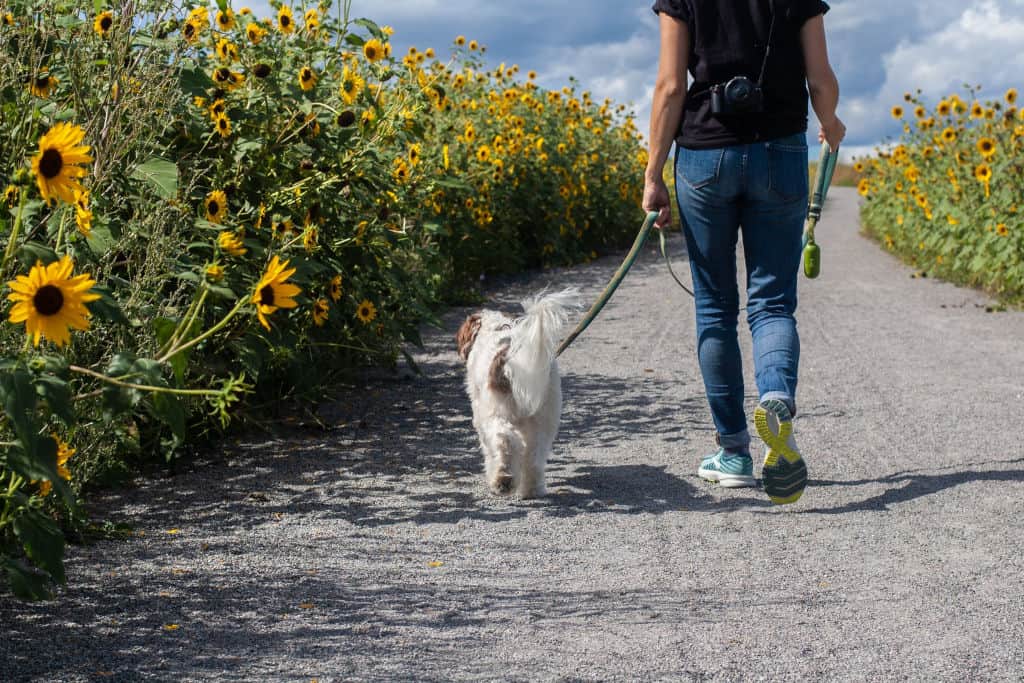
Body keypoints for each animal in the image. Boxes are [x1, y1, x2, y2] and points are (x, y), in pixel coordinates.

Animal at [454, 288, 581, 497]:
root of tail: (509, 356)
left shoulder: (480, 415)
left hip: (497, 414)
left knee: (505, 441)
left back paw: (502, 480)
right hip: (544, 417)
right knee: (534, 455)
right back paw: (532, 489)